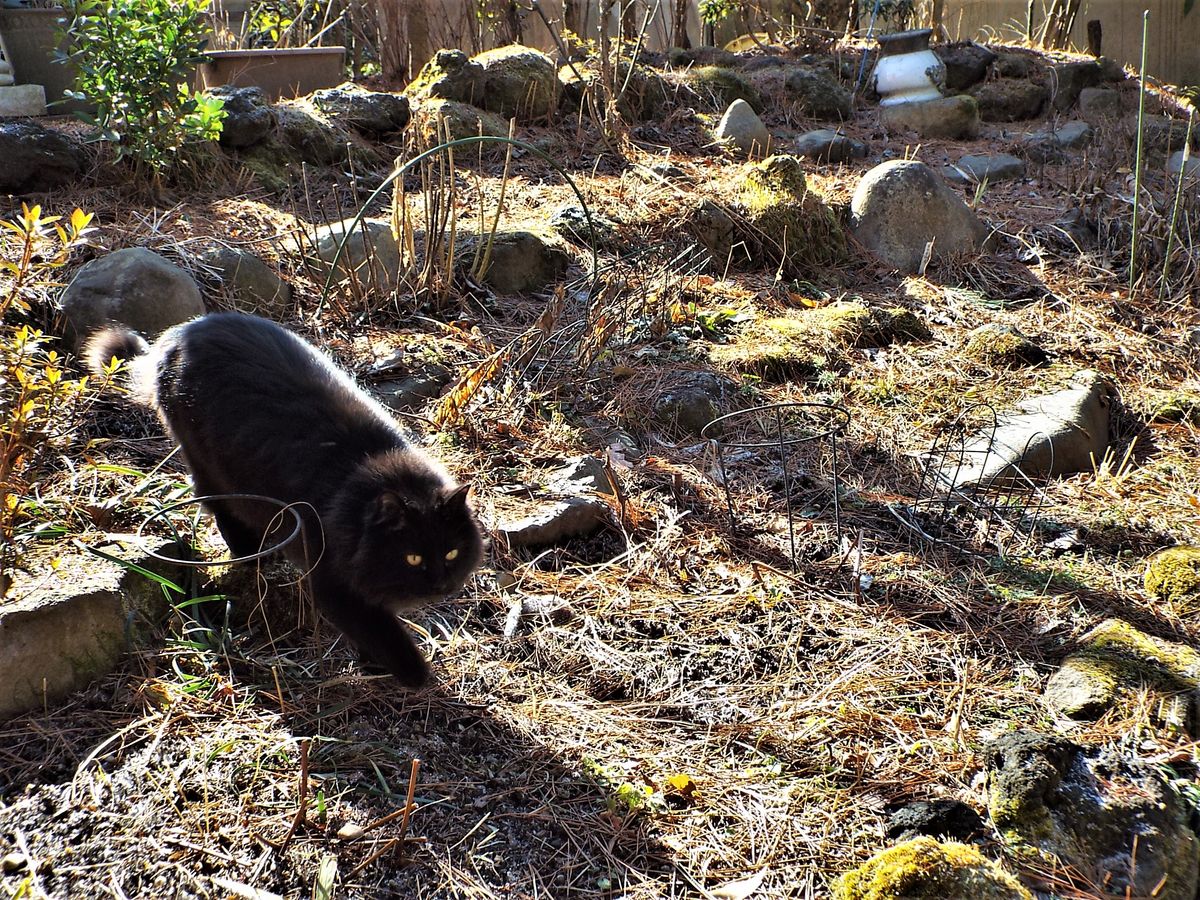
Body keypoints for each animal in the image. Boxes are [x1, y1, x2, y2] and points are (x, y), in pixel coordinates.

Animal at [87, 314, 484, 686]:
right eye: (413, 558)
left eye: (451, 553)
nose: (441, 584)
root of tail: (179, 333)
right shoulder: (334, 586)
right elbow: (384, 635)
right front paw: (416, 676)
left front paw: (373, 664)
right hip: (209, 465)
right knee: (222, 510)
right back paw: (253, 555)